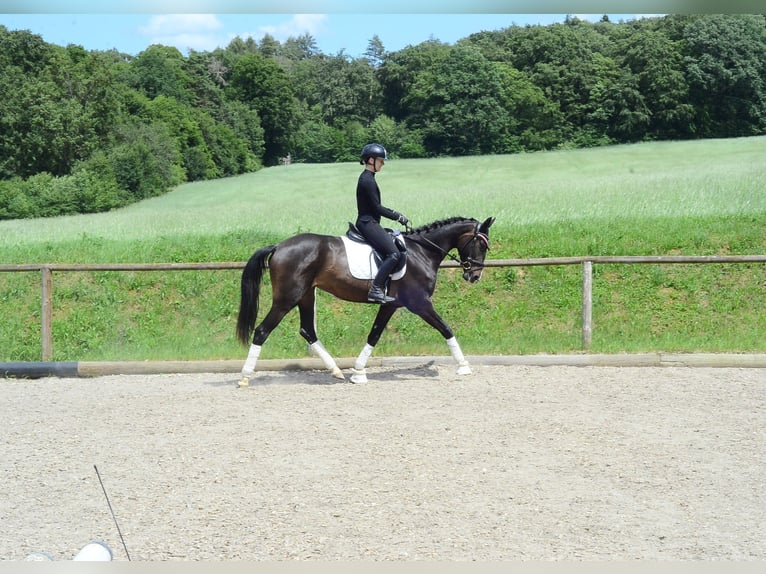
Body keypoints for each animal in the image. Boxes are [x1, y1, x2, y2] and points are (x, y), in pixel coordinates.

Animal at [235, 216, 495, 386]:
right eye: (481, 244)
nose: (474, 276)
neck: (421, 251)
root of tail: (279, 246)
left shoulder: (390, 304)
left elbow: (374, 334)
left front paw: (358, 372)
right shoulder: (419, 303)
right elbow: (446, 329)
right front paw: (464, 366)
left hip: (306, 296)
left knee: (307, 331)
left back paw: (336, 371)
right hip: (287, 298)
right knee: (262, 330)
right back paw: (245, 376)